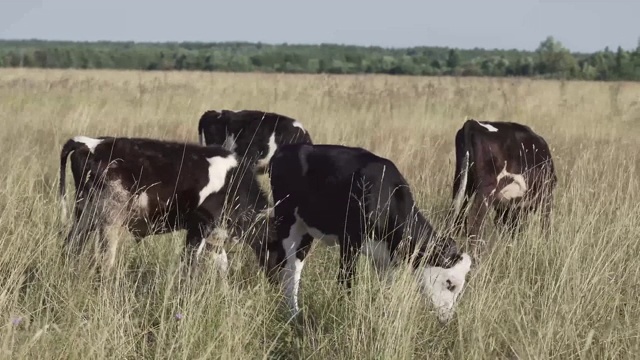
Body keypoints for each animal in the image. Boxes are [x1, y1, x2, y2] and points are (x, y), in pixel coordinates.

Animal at [57, 135, 272, 272]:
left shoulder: (215, 234)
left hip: (85, 215)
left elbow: (221, 265)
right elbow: (190, 265)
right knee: (104, 260)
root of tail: (88, 142)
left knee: (71, 247)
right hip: (109, 220)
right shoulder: (200, 226)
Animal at [258, 143, 472, 324]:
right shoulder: (350, 242)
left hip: (305, 231)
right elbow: (346, 282)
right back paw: (293, 315)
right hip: (288, 223)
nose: (447, 318)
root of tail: (287, 149)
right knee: (291, 270)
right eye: (450, 283)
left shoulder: (386, 259)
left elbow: (386, 290)